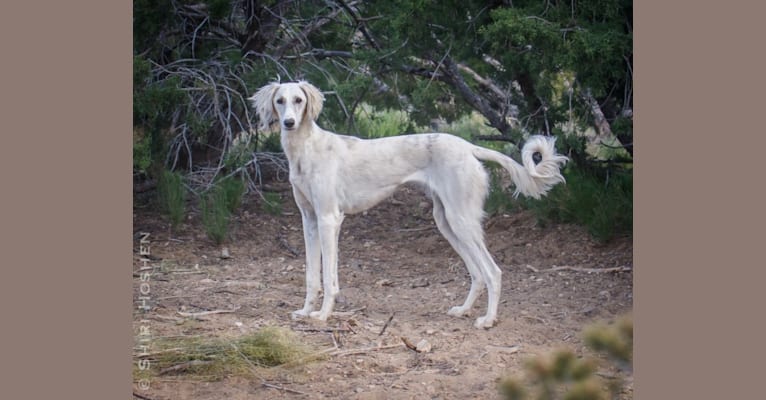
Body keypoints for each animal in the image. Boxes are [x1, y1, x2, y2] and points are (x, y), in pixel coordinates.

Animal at [249, 81, 568, 328]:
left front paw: (324, 315)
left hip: (461, 220)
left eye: (299, 100)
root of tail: (468, 146)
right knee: (477, 273)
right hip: (446, 221)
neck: (305, 149)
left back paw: (488, 320)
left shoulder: (329, 219)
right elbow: (311, 275)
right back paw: (464, 310)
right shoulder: (309, 221)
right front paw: (305, 311)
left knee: (493, 271)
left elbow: (328, 277)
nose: (289, 123)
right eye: (279, 101)